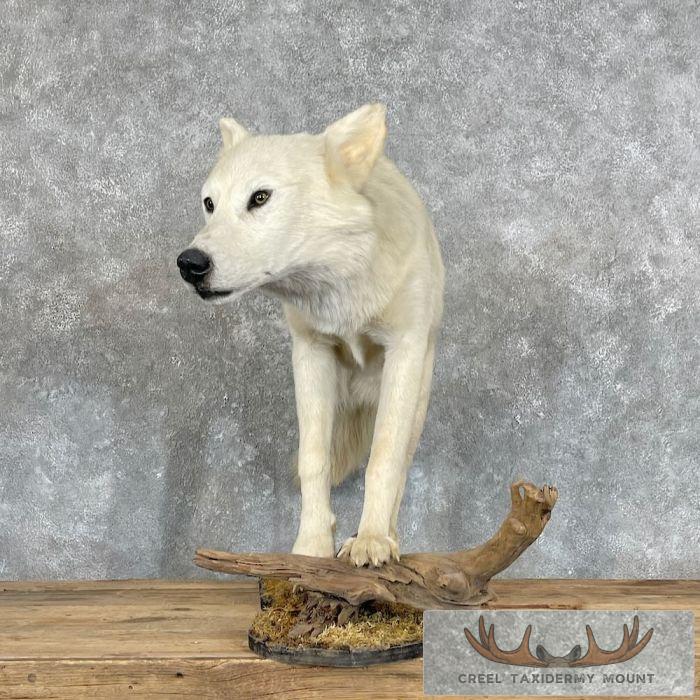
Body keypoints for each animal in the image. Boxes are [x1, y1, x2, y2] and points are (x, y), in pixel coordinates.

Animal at [177, 104, 444, 567]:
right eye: (209, 204)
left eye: (259, 197)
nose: (189, 263)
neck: (344, 289)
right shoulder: (309, 352)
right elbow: (313, 460)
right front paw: (311, 550)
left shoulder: (404, 351)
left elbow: (383, 458)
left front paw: (371, 541)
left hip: (419, 397)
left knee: (401, 463)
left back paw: (390, 539)